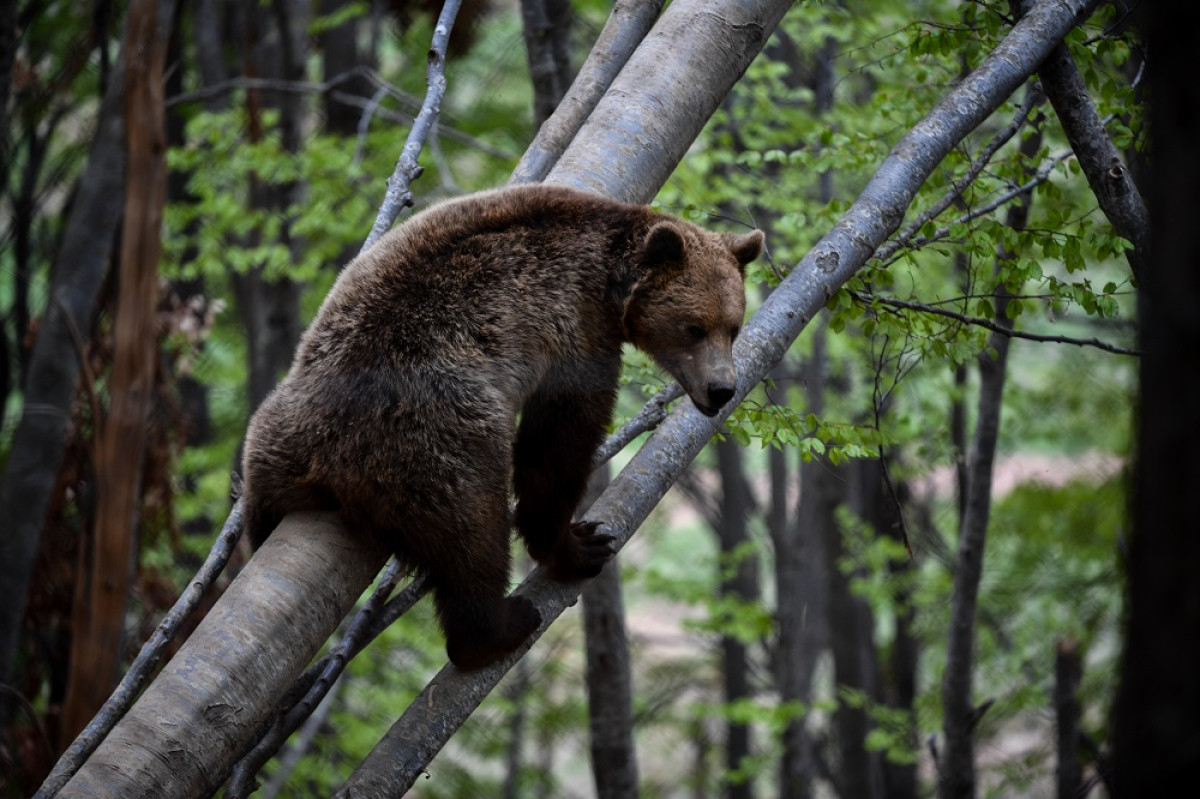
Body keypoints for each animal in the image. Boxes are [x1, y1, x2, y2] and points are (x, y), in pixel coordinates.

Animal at [240, 182, 763, 667]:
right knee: (472, 530)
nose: (721, 389)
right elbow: (559, 443)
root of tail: (322, 457)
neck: (611, 282)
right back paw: (500, 625)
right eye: (694, 327)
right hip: (433, 435)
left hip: (270, 443)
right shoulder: (573, 327)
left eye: (733, 327)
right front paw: (578, 543)